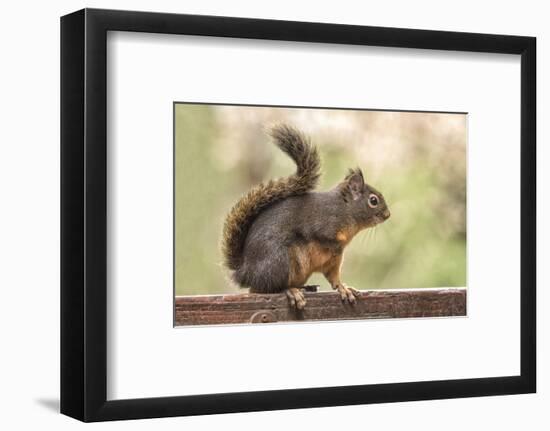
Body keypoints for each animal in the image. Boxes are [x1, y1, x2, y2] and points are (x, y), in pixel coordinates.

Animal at [221, 125, 392, 310]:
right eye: (373, 200)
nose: (387, 215)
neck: (345, 210)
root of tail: (246, 272)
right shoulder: (324, 223)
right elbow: (319, 236)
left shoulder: (334, 260)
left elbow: (334, 278)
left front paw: (343, 288)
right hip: (279, 261)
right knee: (267, 289)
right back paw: (291, 291)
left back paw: (305, 287)